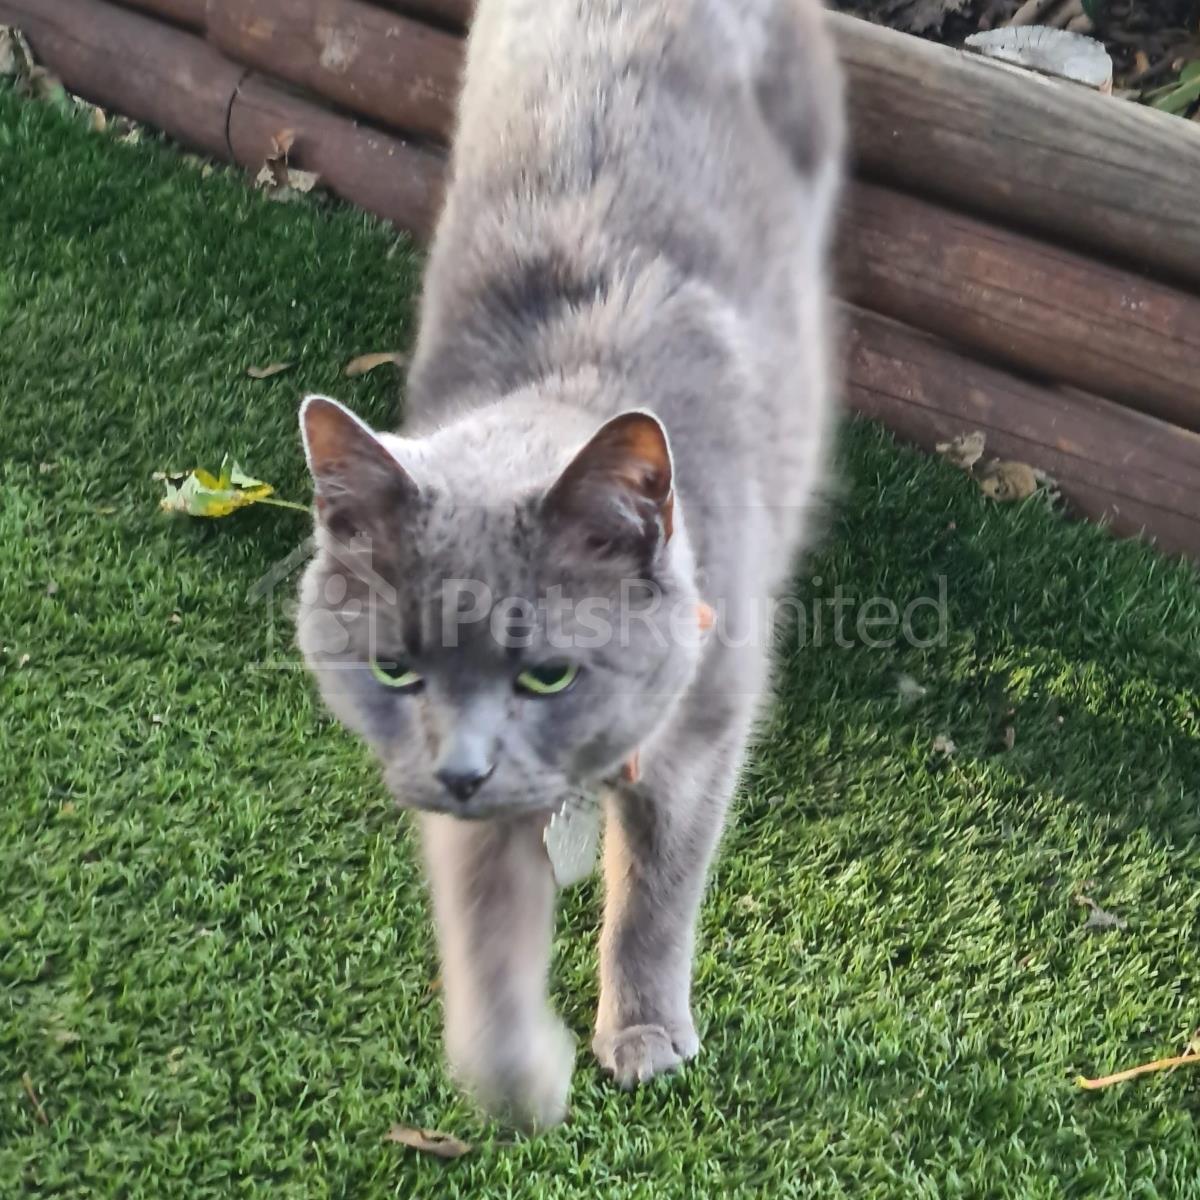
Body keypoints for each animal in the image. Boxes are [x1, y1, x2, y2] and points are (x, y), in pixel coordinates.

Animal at [296, 0, 843, 1130]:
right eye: (393, 670)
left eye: (548, 673)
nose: (463, 769)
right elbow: (483, 920)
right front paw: (517, 1079)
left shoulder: (702, 741)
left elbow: (658, 892)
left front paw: (642, 1035)